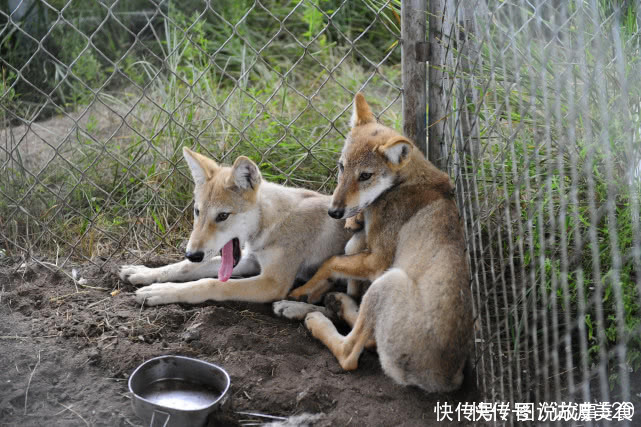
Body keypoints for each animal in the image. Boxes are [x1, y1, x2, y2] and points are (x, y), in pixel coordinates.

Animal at [117, 148, 352, 308]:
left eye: (222, 216)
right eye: (197, 212)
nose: (192, 254)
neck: (271, 221)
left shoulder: (273, 283)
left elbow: (211, 283)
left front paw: (161, 291)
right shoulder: (250, 261)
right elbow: (184, 268)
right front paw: (142, 272)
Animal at [274, 94, 470, 394]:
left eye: (365, 176)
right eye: (342, 167)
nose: (334, 212)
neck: (405, 182)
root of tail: (447, 379)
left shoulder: (378, 261)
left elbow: (330, 262)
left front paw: (302, 291)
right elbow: (341, 259)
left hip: (387, 282)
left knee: (351, 351)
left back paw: (316, 318)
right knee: (364, 334)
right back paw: (334, 303)